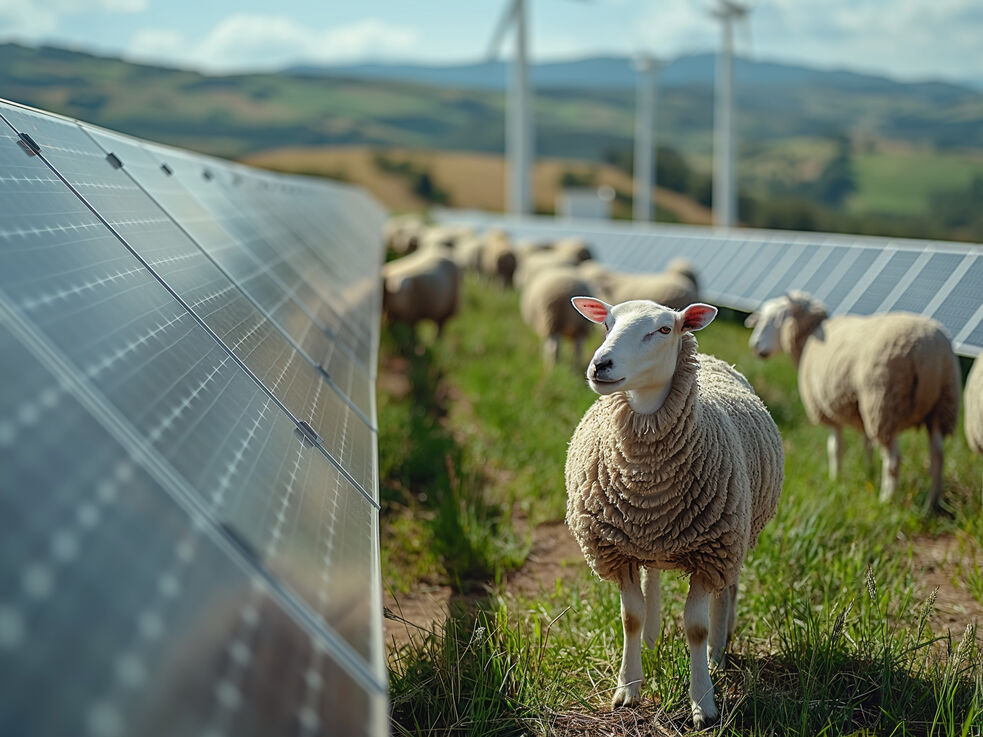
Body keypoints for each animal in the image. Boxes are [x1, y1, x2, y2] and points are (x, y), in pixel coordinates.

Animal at [565, 297, 783, 728]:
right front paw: (628, 689)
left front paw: (704, 703)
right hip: (650, 541)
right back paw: (652, 641)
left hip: (736, 535)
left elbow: (695, 628)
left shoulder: (710, 551)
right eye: (607, 323)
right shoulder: (618, 548)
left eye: (664, 329)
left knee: (728, 591)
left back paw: (718, 653)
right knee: (651, 579)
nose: (600, 364)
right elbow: (630, 617)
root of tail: (713, 359)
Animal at [746, 291, 961, 509]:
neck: (809, 337)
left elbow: (835, 448)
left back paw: (886, 499)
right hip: (942, 404)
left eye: (777, 318)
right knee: (937, 456)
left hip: (883, 403)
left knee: (894, 460)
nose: (755, 346)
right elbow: (867, 444)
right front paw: (868, 473)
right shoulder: (860, 410)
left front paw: (836, 479)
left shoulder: (828, 409)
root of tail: (925, 352)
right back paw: (932, 503)